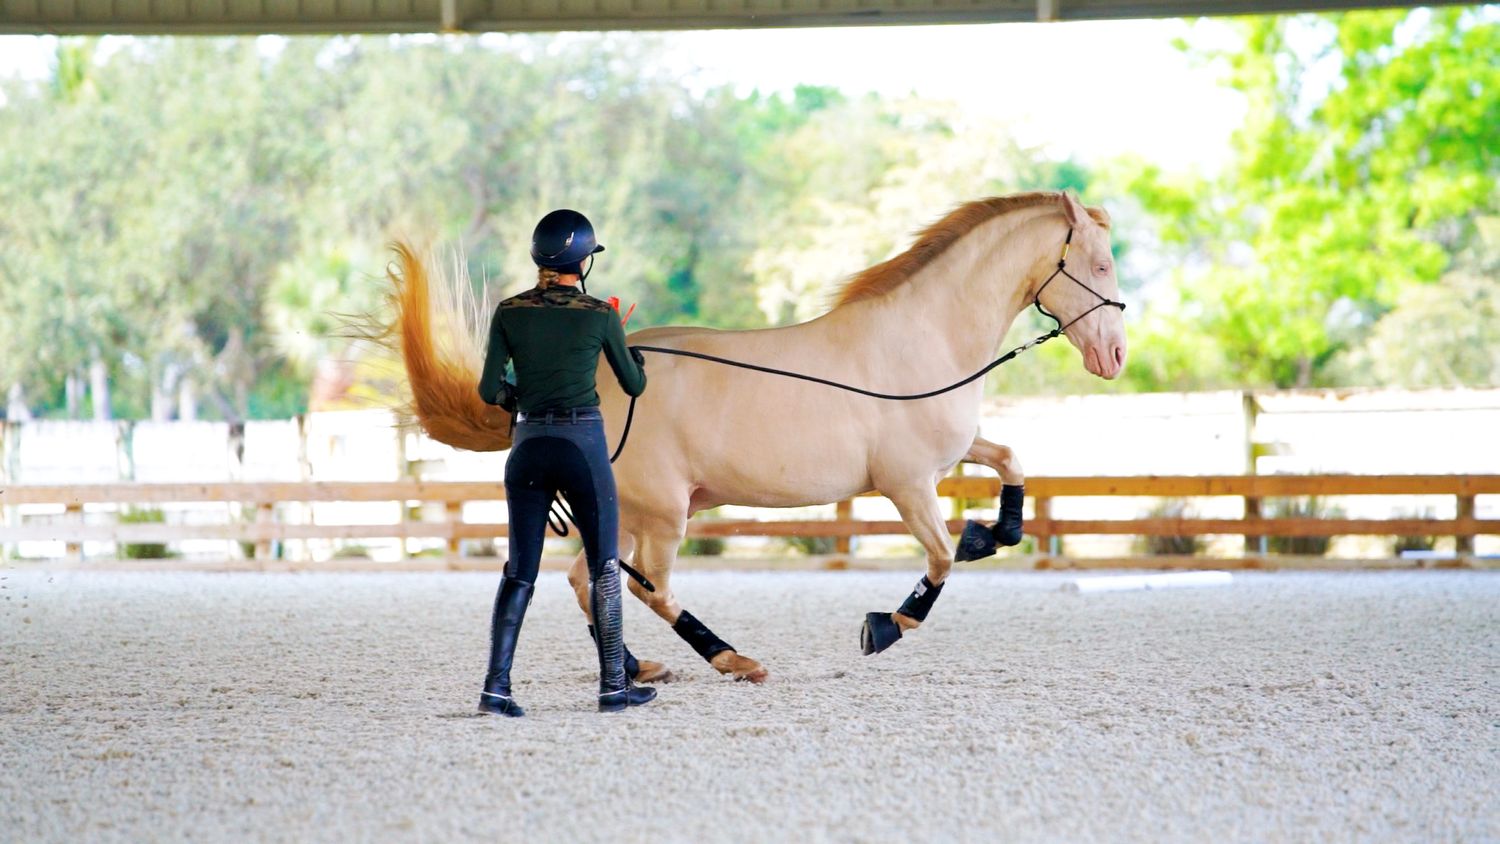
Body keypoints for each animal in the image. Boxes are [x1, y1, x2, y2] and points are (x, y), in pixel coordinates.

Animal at [383, 191, 1126, 684]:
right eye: (1099, 264)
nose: (1115, 355)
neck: (924, 341)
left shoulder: (949, 458)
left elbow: (1010, 464)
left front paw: (993, 532)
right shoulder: (908, 483)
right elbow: (941, 560)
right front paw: (885, 626)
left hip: (627, 512)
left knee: (588, 579)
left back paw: (638, 665)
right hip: (664, 515)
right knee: (651, 588)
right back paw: (730, 658)